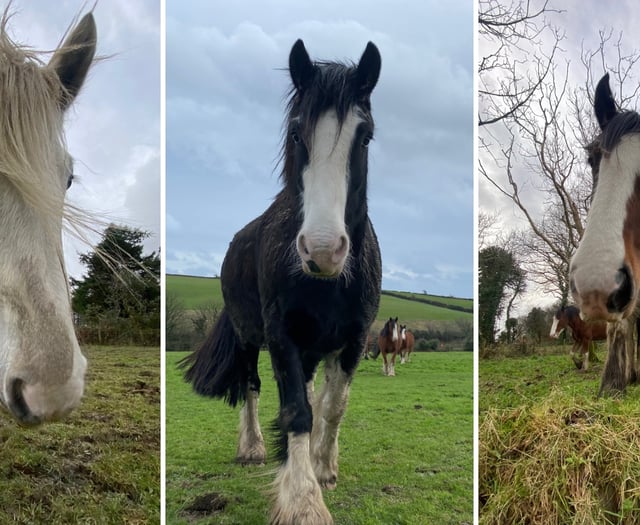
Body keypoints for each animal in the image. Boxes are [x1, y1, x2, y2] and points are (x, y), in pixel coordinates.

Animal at [180, 41, 380, 524]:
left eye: (364, 137)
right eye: (295, 135)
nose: (322, 250)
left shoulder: (355, 338)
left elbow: (333, 407)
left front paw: (323, 468)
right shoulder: (280, 334)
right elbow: (296, 412)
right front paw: (304, 501)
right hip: (250, 337)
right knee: (252, 387)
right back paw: (252, 447)